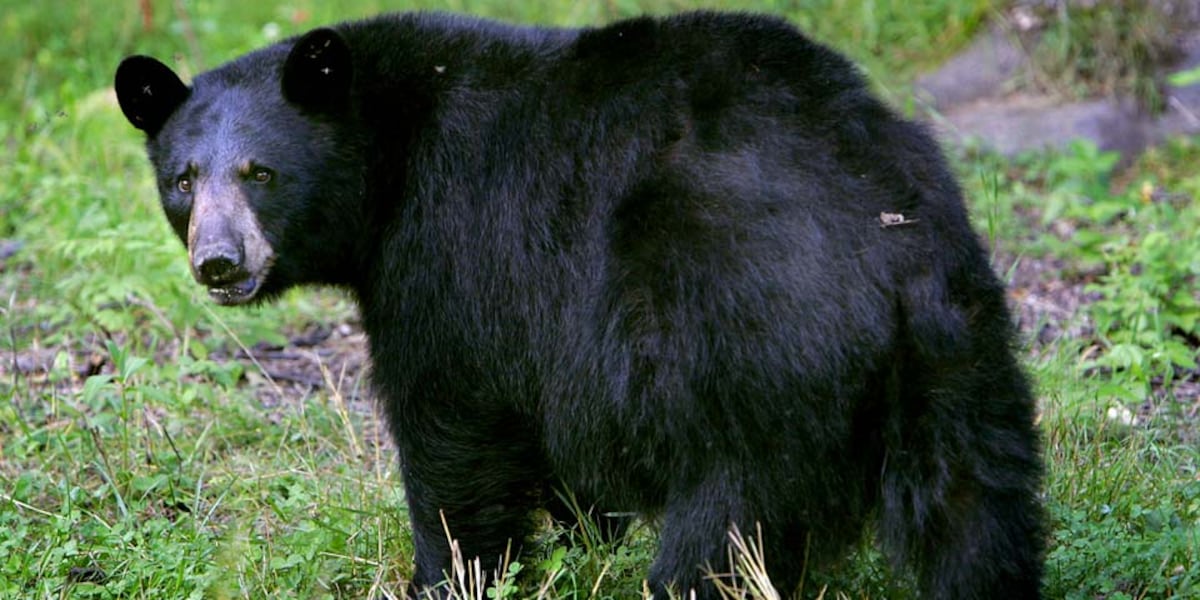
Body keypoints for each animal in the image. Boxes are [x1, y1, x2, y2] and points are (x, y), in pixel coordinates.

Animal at [115, 11, 1044, 599]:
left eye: (261, 172)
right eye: (183, 179)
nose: (219, 261)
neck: (387, 157)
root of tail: (879, 237)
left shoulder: (453, 250)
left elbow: (450, 428)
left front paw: (448, 576)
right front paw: (576, 538)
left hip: (752, 349)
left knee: (727, 529)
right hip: (960, 351)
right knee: (978, 509)